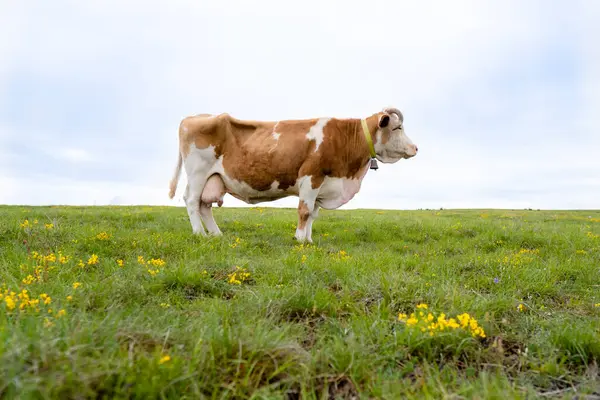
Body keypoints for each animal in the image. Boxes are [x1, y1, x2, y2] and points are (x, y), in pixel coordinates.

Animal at [168, 107, 418, 244]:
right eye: (397, 128)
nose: (415, 148)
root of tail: (193, 117)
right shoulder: (311, 176)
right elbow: (304, 211)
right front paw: (299, 239)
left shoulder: (323, 184)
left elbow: (313, 214)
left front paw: (309, 239)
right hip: (198, 172)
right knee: (192, 201)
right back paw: (200, 234)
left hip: (213, 178)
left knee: (204, 205)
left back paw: (216, 234)